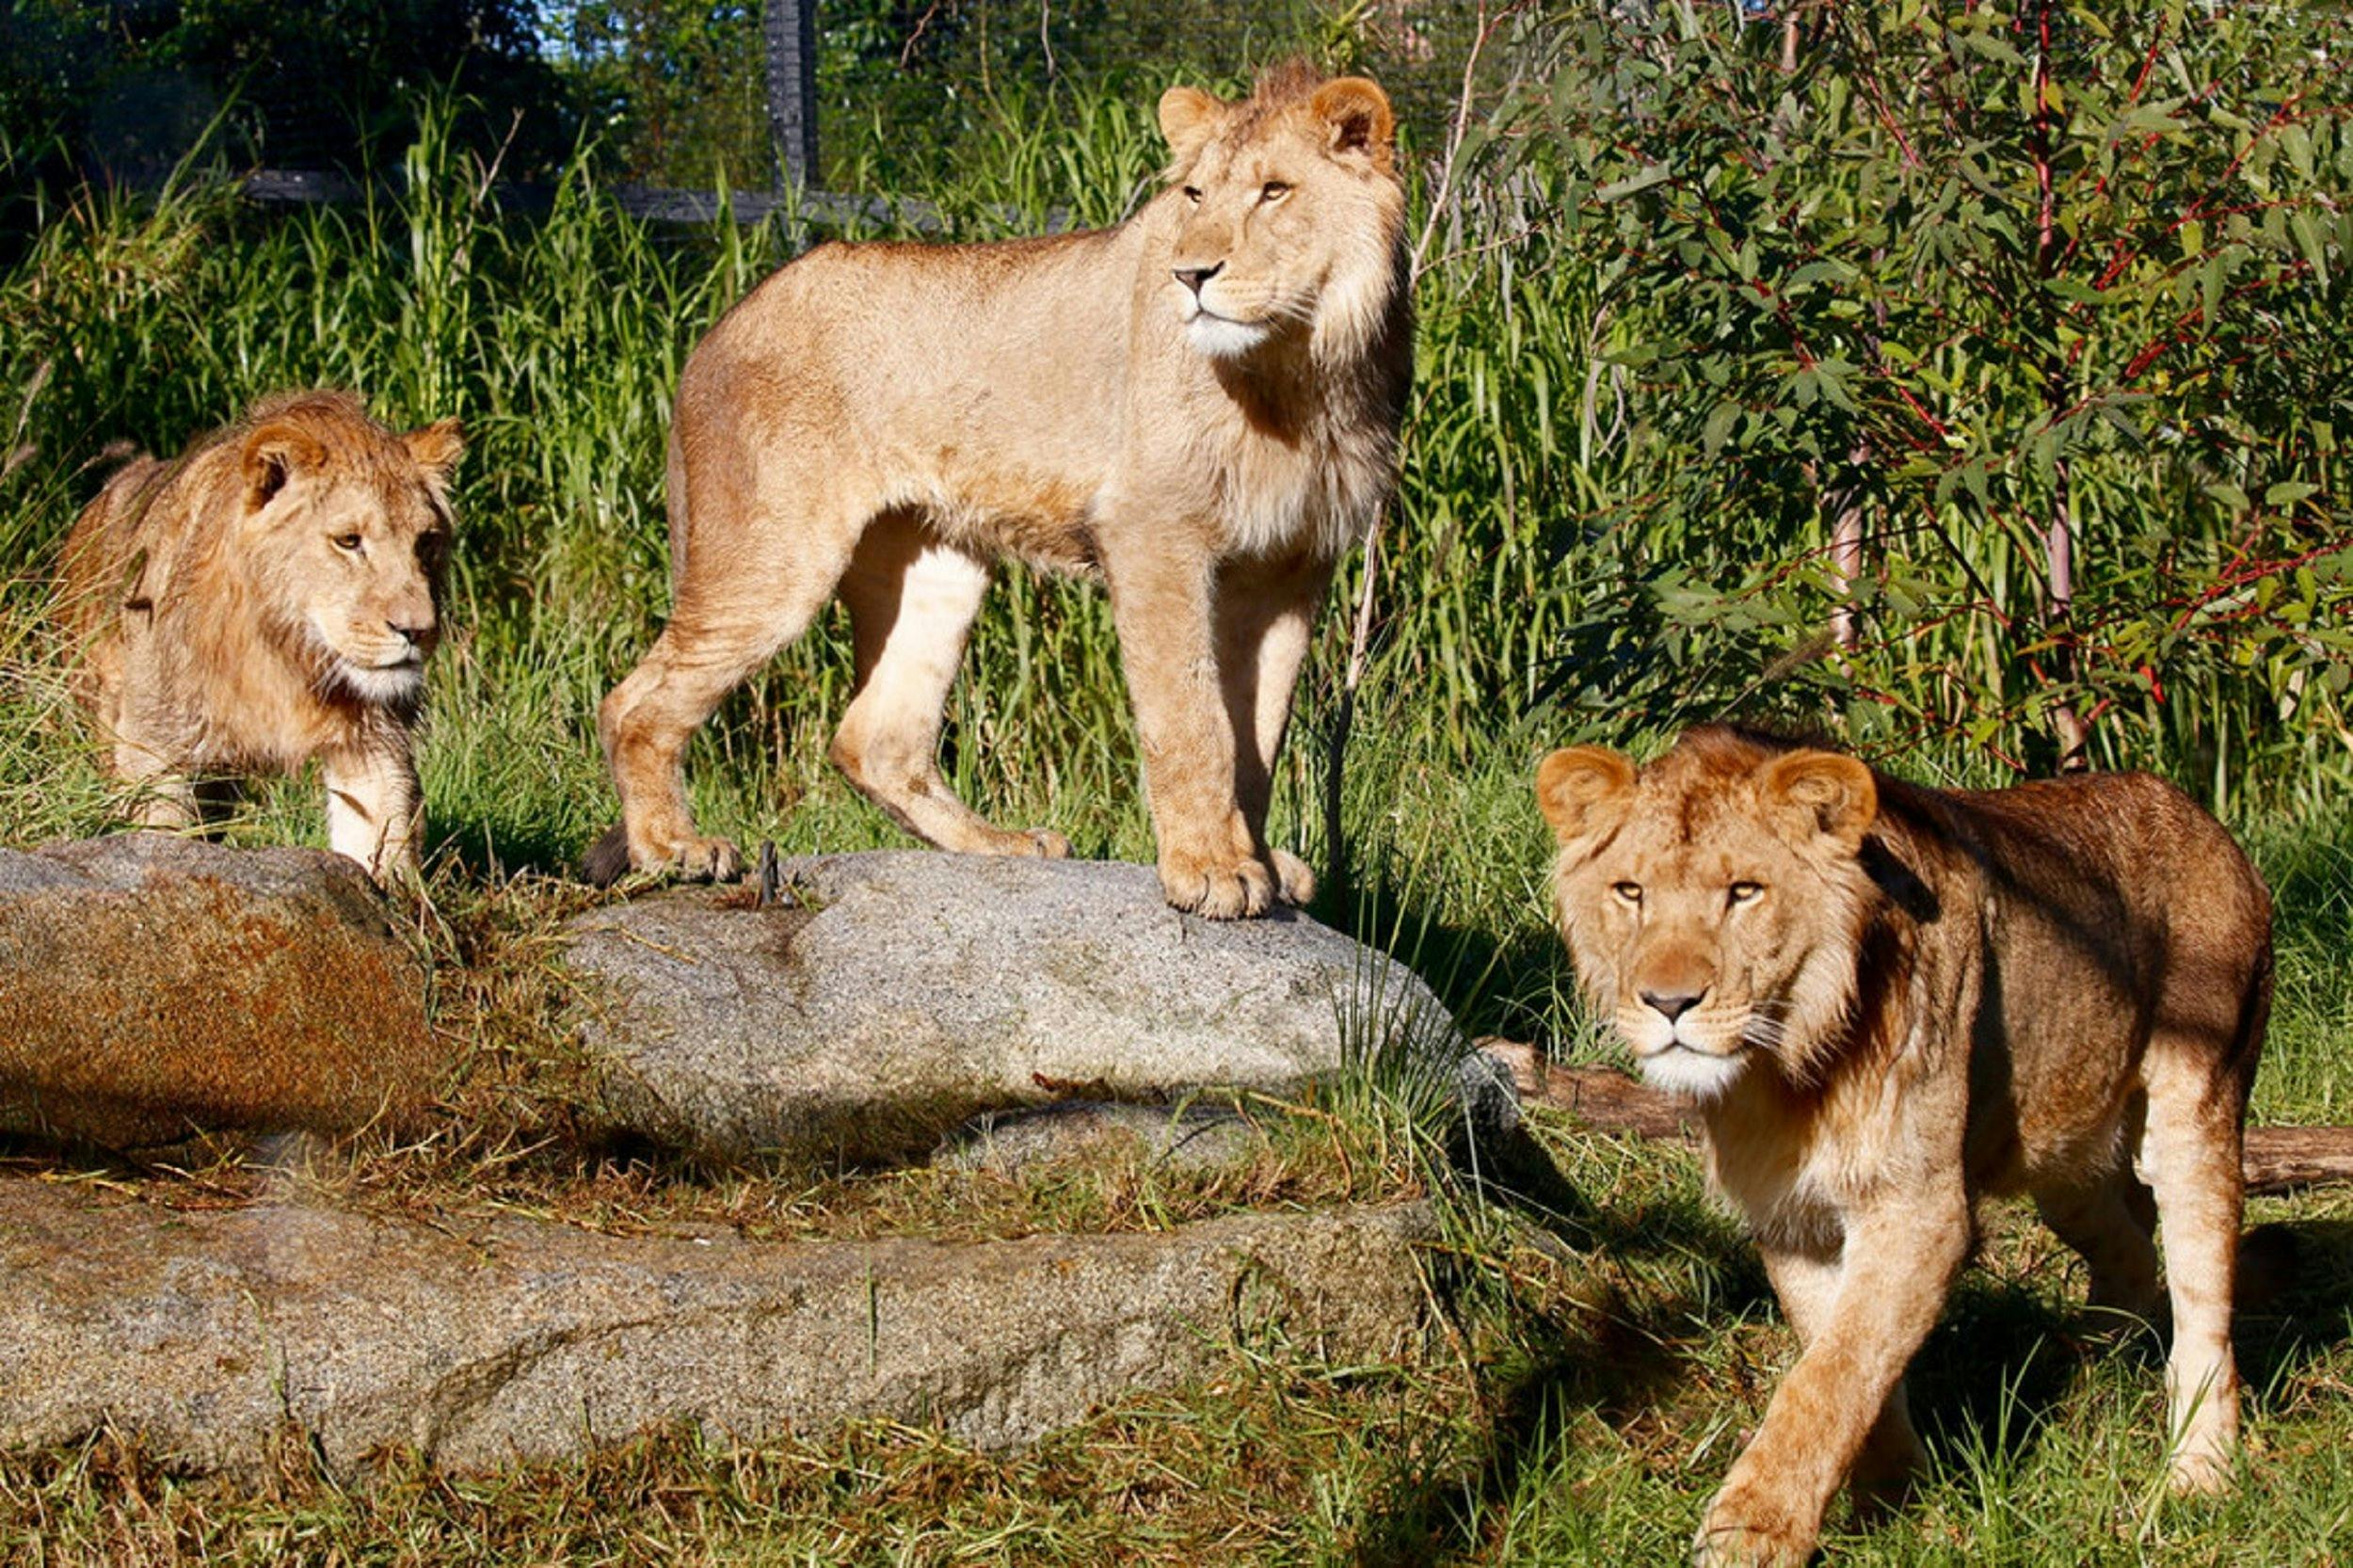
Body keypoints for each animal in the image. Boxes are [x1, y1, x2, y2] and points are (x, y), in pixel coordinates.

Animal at [56, 390, 463, 881]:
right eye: (348, 541)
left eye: (426, 542)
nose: (417, 630)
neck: (287, 652)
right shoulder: (154, 740)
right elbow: (159, 836)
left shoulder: (375, 743)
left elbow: (381, 841)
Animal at [585, 62, 1413, 918]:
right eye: (1194, 196)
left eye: (1275, 191)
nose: (1191, 274)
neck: (1300, 371)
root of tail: (717, 329)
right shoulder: (1152, 533)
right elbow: (1193, 719)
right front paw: (1210, 868)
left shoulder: (1290, 567)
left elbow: (1260, 734)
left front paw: (1261, 863)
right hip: (774, 557)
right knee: (632, 703)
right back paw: (674, 847)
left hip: (936, 566)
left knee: (875, 739)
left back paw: (1001, 845)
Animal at [1536, 726, 2271, 1566]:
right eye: (1630, 892)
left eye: (1744, 892)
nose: (1667, 1002)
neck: (1780, 1071)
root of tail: (2210, 823)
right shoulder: (1795, 1219)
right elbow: (1844, 1358)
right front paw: (1895, 1498)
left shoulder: (1920, 1207)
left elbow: (1830, 1375)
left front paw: (1752, 1529)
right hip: (2065, 1155)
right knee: (2128, 1247)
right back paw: (2096, 1366)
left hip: (2197, 1102)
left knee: (2202, 1302)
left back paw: (2199, 1476)